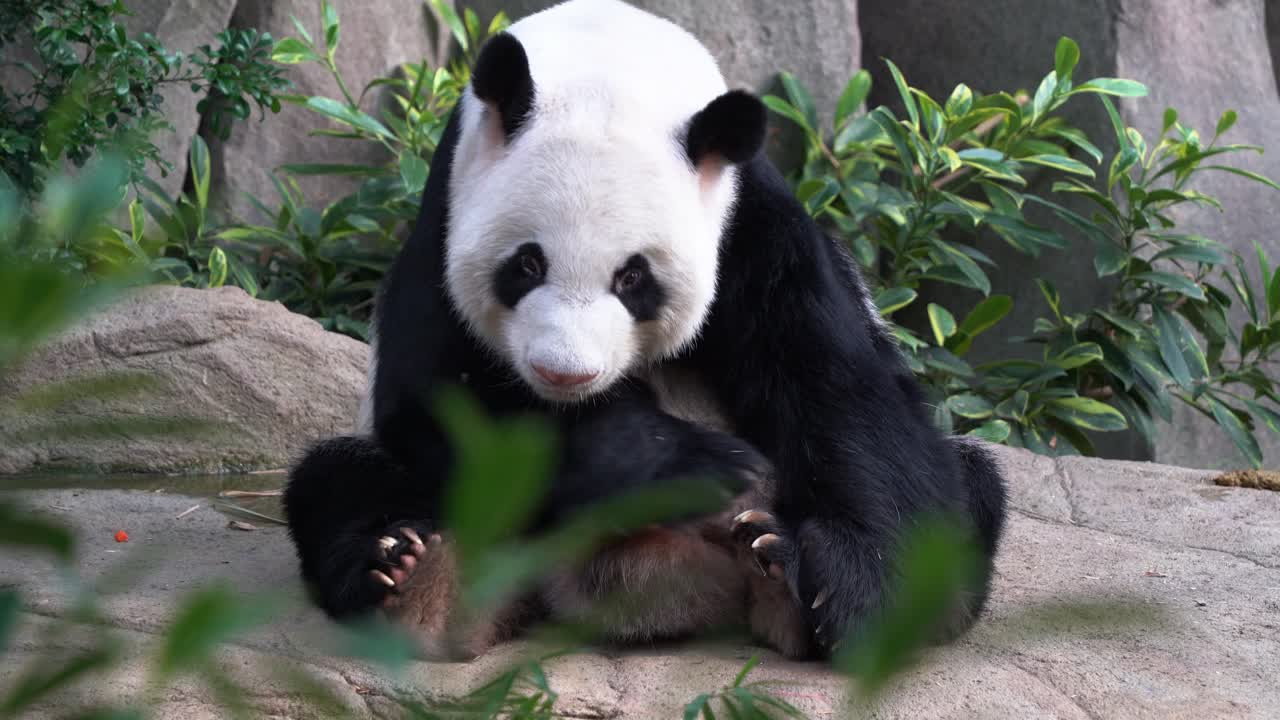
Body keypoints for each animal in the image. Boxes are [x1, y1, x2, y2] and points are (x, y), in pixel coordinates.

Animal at [283, 0, 1008, 661]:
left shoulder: (751, 226)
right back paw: (413, 580)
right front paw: (700, 466)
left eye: (633, 278)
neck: (609, 61)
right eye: (526, 264)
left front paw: (853, 591)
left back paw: (782, 577)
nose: (563, 372)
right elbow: (441, 398)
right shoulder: (444, 215)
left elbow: (837, 390)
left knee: (971, 486)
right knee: (340, 482)